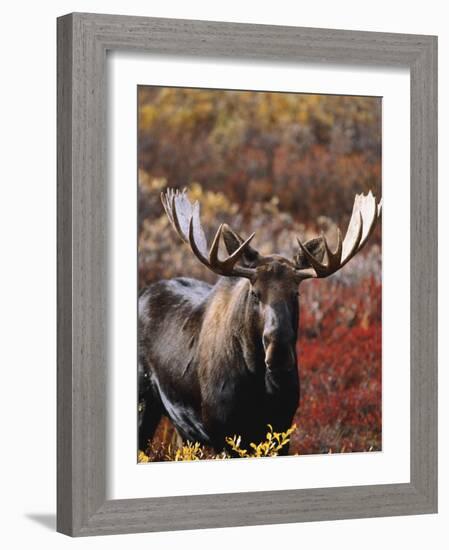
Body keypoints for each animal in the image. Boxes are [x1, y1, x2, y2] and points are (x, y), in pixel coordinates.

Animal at [138, 190, 380, 458]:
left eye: (296, 293)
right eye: (255, 293)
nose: (279, 352)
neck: (258, 385)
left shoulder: (283, 429)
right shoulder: (222, 433)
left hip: (183, 430)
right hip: (145, 403)